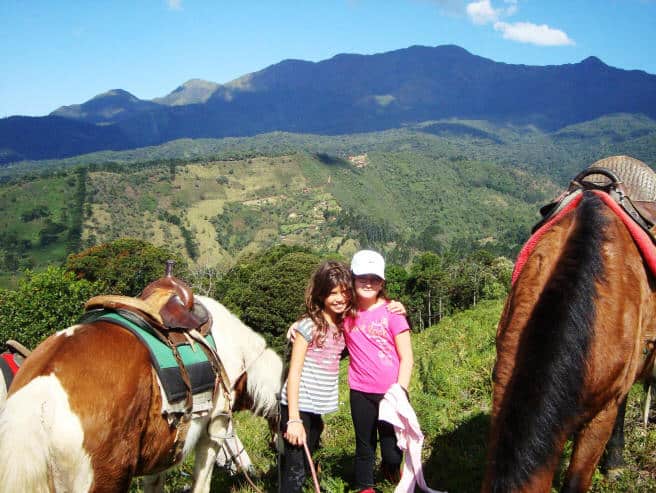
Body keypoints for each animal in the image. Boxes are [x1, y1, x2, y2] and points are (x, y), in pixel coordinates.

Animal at [0, 294, 282, 490]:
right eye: (231, 433)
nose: (252, 471)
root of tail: (42, 391)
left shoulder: (165, 444)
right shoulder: (214, 428)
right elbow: (201, 482)